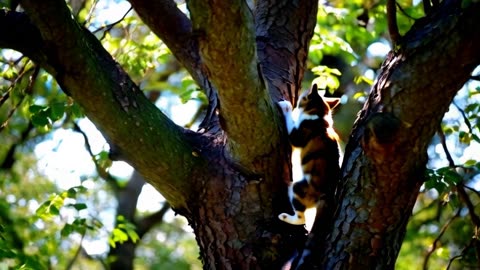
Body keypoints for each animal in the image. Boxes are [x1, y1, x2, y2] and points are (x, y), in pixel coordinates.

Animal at [278, 83, 342, 225]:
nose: (296, 101)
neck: (319, 114)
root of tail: (326, 196)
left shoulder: (297, 136)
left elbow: (291, 122)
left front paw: (286, 106)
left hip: (298, 188)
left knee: (301, 218)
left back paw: (285, 217)